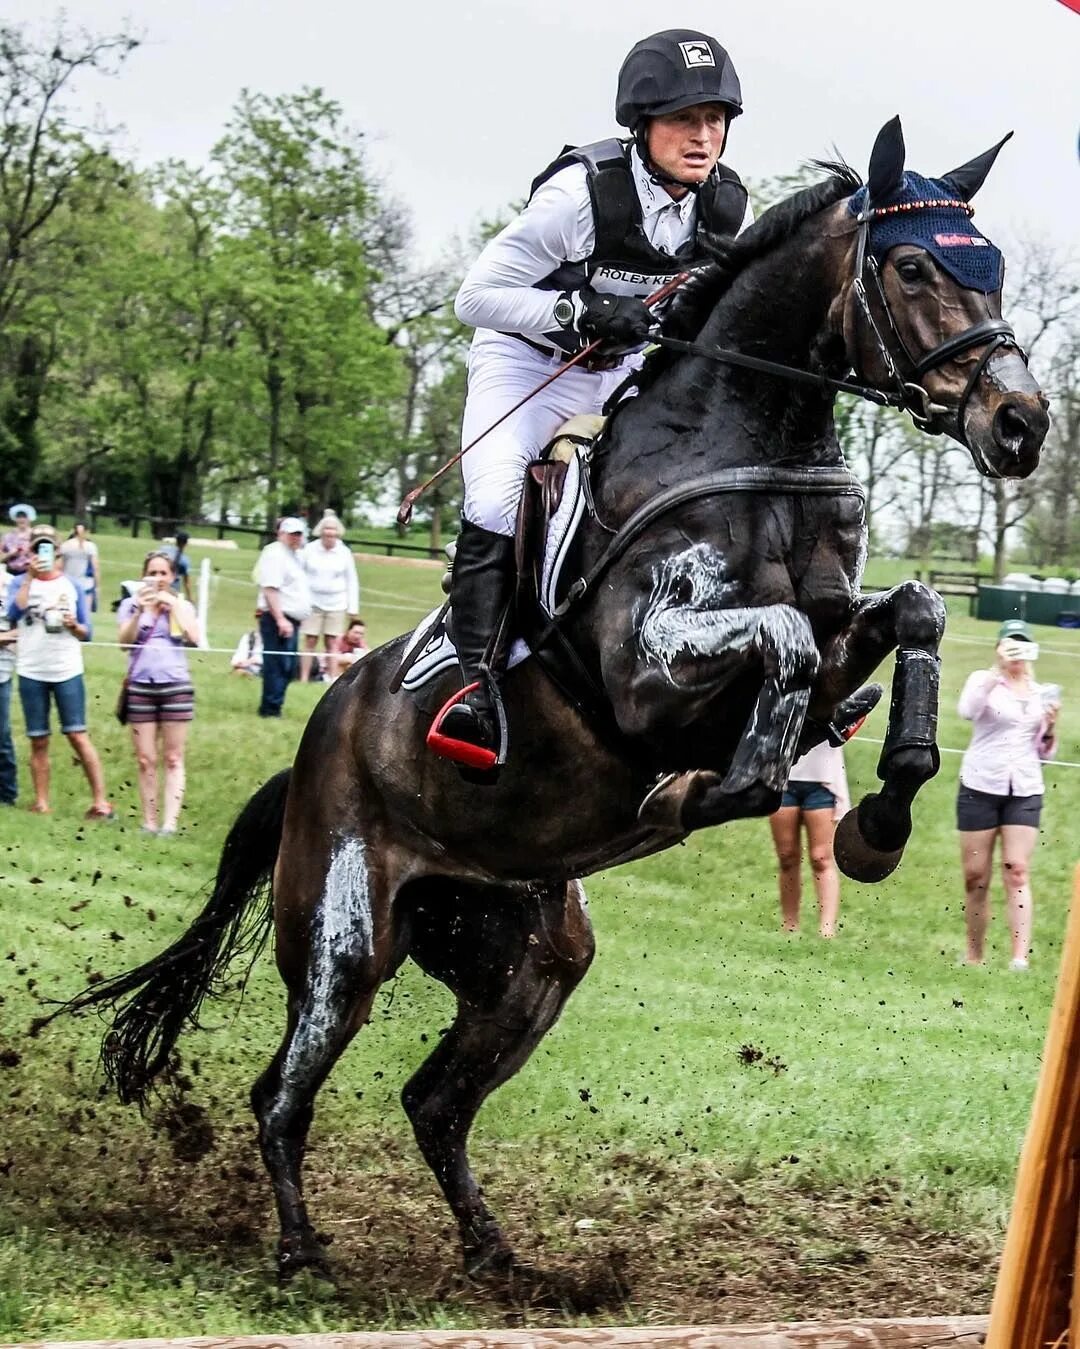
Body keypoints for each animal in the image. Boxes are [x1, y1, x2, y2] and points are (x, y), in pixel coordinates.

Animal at [61, 121, 1046, 1289]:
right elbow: (783, 647)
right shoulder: (649, 675)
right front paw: (705, 793)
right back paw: (304, 1250)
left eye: (993, 265)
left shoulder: (843, 637)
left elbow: (915, 614)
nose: (1021, 423)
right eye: (913, 268)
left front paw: (880, 821)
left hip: (529, 954)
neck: (746, 453)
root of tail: (309, 749)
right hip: (349, 931)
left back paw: (502, 1258)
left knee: (434, 1102)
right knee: (284, 1090)